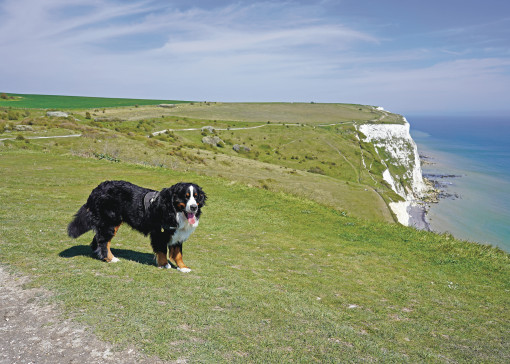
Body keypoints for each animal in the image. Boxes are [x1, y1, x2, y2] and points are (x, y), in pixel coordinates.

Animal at [67, 181, 207, 272]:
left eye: (196, 197)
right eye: (185, 197)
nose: (193, 207)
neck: (173, 210)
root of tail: (97, 189)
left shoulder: (178, 233)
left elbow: (178, 253)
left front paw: (183, 267)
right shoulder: (160, 232)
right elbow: (162, 250)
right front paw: (164, 264)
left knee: (98, 239)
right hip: (111, 222)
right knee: (104, 241)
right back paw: (110, 258)